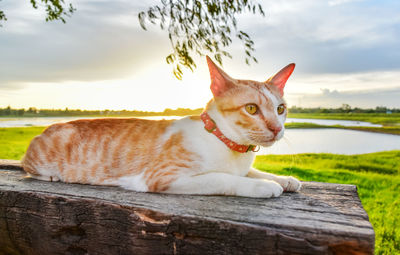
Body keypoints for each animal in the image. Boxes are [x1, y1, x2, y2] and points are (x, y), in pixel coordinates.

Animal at [21, 56, 302, 198]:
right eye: (252, 109)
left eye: (280, 109)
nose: (277, 129)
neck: (232, 148)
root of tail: (45, 129)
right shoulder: (165, 176)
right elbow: (224, 178)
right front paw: (264, 186)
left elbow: (251, 172)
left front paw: (284, 179)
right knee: (28, 167)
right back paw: (51, 175)